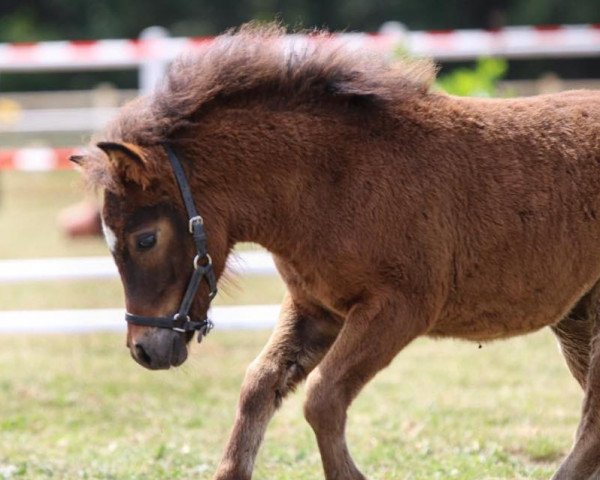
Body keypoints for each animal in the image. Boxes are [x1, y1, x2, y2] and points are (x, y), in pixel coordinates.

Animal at [76, 25, 600, 480]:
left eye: (145, 239)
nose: (145, 350)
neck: (330, 180)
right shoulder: (316, 308)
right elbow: (259, 385)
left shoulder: (399, 307)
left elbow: (323, 397)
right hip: (575, 317)